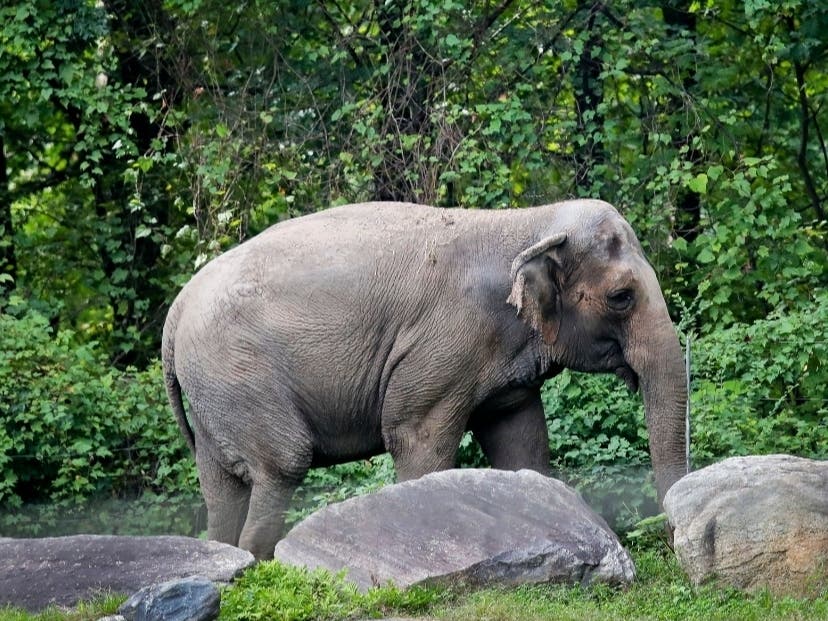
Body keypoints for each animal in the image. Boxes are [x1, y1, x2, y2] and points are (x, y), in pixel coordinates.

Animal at [162, 199, 687, 560]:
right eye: (621, 297)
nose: (669, 538)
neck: (527, 222)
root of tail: (177, 309)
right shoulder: (444, 345)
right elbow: (417, 438)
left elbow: (521, 443)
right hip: (239, 375)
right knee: (282, 465)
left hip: (214, 392)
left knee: (221, 488)